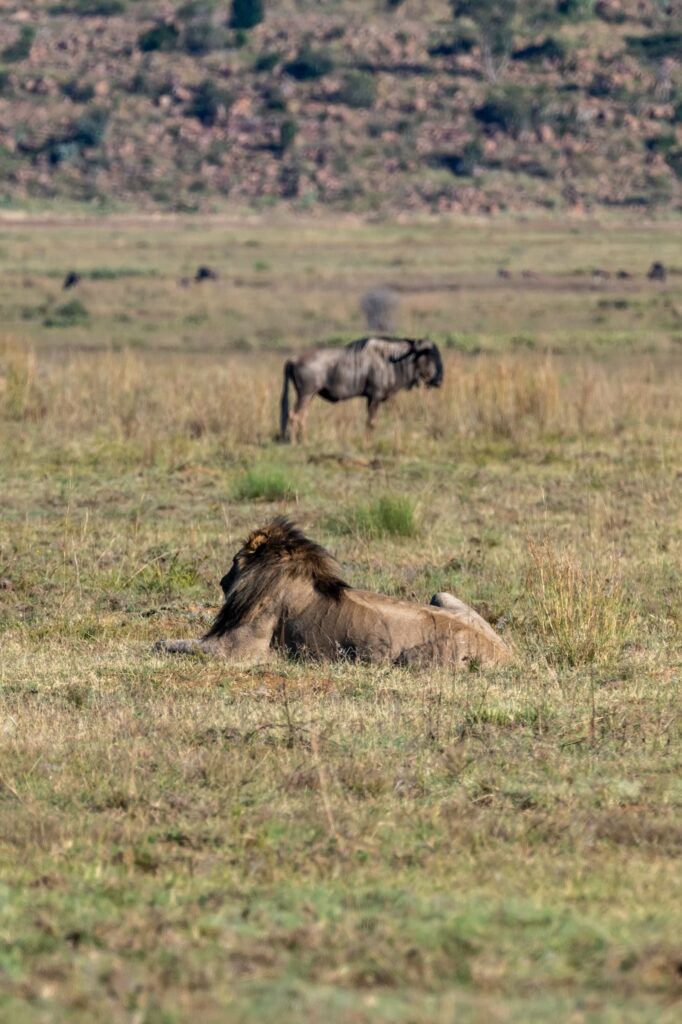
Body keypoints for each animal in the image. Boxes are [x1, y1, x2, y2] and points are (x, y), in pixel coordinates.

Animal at [155, 516, 509, 667]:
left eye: (232, 562)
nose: (221, 581)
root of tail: (506, 653)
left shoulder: (238, 649)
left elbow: (173, 645)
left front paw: (158, 644)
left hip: (409, 657)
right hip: (442, 594)